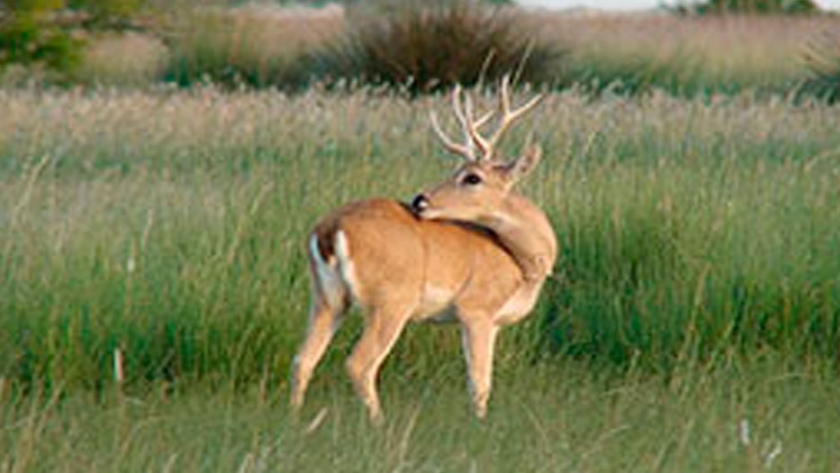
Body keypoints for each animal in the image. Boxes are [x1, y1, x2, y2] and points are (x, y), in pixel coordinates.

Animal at [288, 77, 556, 424]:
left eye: (472, 177)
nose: (420, 199)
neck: (520, 262)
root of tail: (329, 231)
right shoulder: (476, 309)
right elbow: (480, 382)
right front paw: (480, 425)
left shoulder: (493, 322)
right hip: (391, 300)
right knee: (359, 364)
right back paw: (379, 424)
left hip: (326, 299)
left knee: (303, 359)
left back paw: (295, 420)